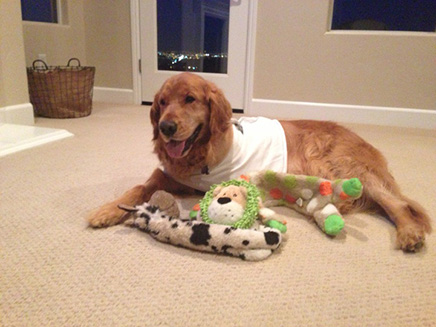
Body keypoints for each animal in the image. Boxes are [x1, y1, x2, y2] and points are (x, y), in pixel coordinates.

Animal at [87, 72, 430, 251]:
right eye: (161, 102)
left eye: (190, 99)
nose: (165, 127)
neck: (200, 154)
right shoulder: (169, 175)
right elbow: (137, 187)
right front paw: (106, 210)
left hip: (349, 168)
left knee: (397, 205)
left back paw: (409, 234)